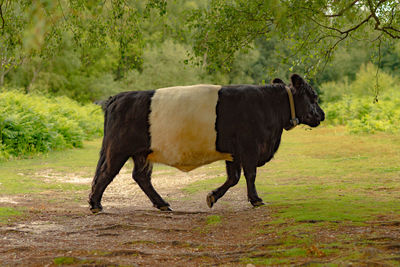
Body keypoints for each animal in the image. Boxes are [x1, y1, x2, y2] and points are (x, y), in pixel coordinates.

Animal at [88, 73, 324, 214]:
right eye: (313, 96)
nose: (321, 115)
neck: (267, 105)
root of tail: (116, 98)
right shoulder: (250, 148)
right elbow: (250, 175)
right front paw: (256, 199)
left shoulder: (233, 152)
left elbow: (233, 178)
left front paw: (212, 197)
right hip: (118, 149)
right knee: (107, 173)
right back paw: (95, 205)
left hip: (142, 153)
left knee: (141, 177)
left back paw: (162, 204)